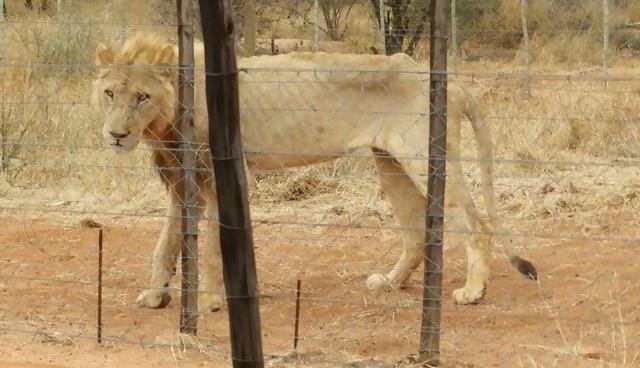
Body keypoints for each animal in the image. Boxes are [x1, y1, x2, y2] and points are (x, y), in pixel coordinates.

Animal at [92, 33, 536, 312]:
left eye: (142, 96)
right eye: (110, 93)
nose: (115, 135)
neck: (164, 123)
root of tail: (453, 80)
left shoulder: (221, 177)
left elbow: (215, 245)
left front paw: (211, 302)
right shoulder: (182, 184)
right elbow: (165, 243)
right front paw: (154, 296)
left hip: (422, 155)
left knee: (476, 224)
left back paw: (473, 291)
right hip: (389, 161)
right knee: (418, 232)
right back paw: (390, 283)